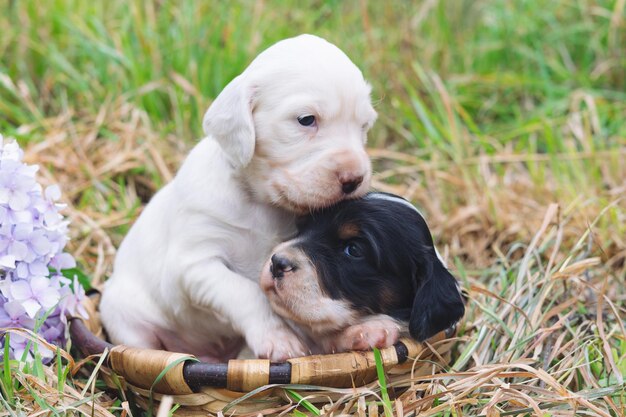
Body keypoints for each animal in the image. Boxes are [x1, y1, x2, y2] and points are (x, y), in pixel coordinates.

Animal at [100, 35, 376, 360]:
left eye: (364, 126)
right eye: (306, 119)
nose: (354, 179)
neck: (263, 205)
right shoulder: (194, 264)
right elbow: (244, 291)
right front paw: (277, 337)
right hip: (123, 317)